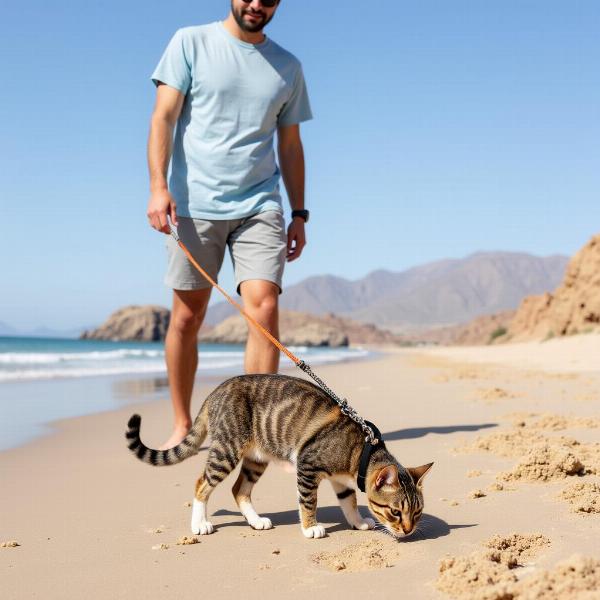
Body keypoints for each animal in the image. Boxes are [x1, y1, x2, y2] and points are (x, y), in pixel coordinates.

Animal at [126, 376, 434, 540]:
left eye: (417, 512)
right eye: (395, 512)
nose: (408, 531)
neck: (362, 450)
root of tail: (215, 392)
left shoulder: (341, 480)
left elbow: (349, 502)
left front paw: (357, 522)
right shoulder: (308, 464)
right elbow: (308, 501)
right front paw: (310, 528)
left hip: (256, 458)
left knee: (239, 489)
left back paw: (256, 521)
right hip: (227, 449)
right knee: (202, 484)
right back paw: (199, 523)